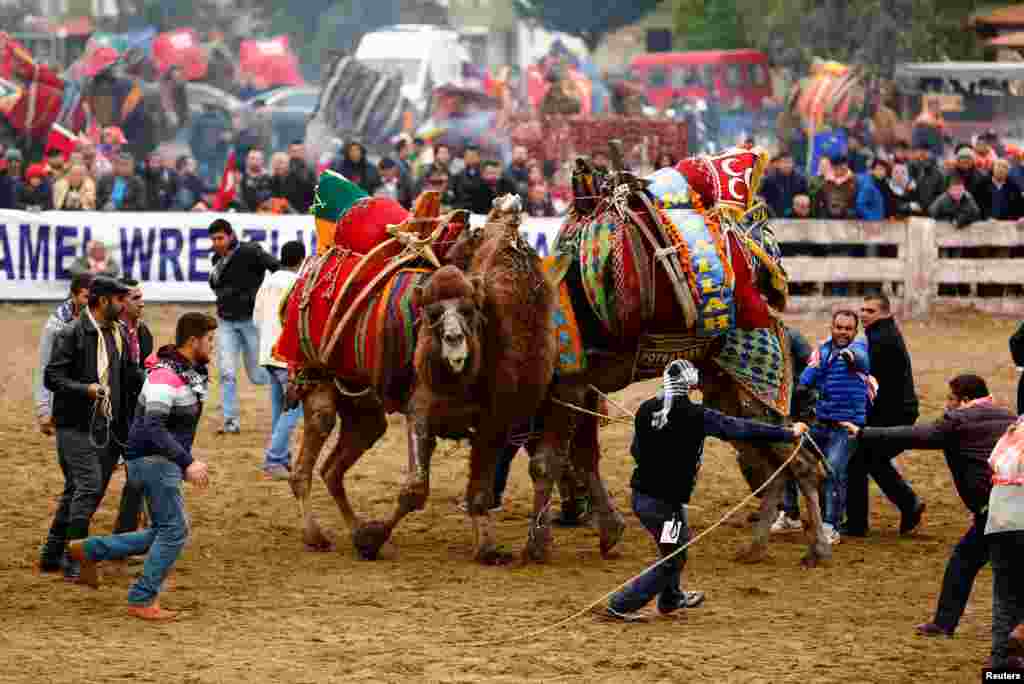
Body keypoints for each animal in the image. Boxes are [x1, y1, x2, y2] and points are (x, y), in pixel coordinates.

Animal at [276, 184, 557, 565]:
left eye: (469, 311)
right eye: (433, 315)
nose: (508, 203)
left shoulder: (493, 423)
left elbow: (479, 492)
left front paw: (488, 548)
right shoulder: (421, 410)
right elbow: (415, 489)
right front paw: (374, 539)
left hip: (362, 401)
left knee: (335, 465)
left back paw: (353, 528)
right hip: (315, 372)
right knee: (309, 455)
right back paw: (317, 535)